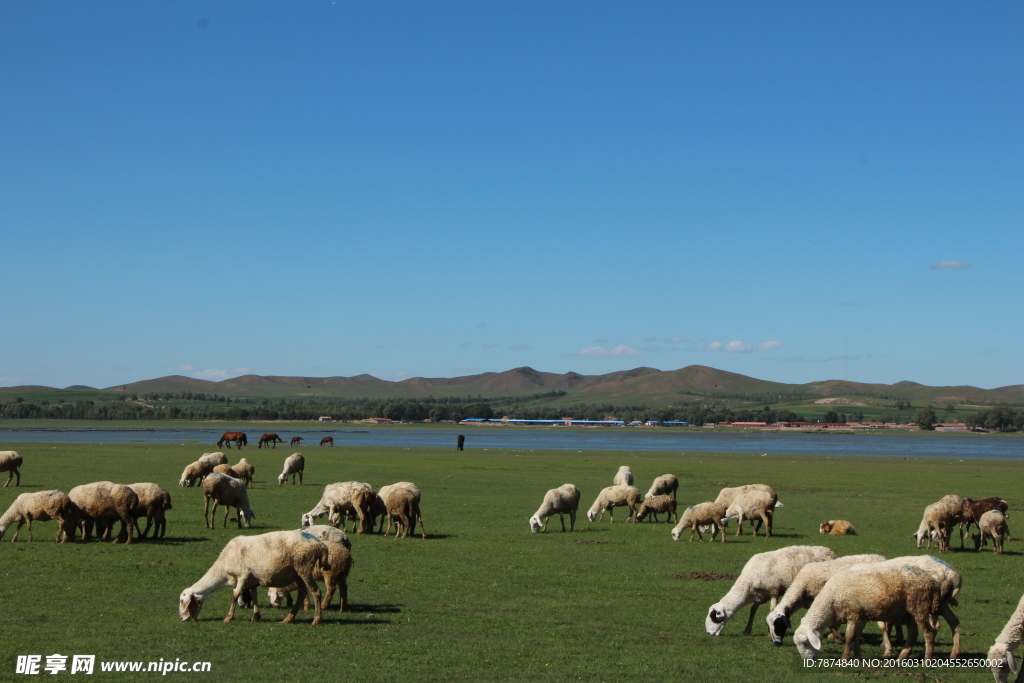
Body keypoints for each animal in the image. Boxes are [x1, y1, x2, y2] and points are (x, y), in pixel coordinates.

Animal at [178, 532, 329, 626]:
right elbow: (254, 595)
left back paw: (316, 620)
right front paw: (256, 616)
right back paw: (288, 619)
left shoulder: (242, 576)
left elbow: (235, 595)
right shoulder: (252, 580)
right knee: (302, 593)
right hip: (298, 573)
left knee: (316, 591)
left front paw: (228, 617)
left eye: (182, 601)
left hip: (304, 568)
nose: (182, 618)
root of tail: (320, 545)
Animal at [704, 540, 839, 638]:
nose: (709, 633)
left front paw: (771, 631)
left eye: (714, 618)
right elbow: (752, 610)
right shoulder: (760, 596)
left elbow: (772, 609)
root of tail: (831, 552)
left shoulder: (774, 591)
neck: (748, 583)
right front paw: (747, 630)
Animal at [790, 561, 942, 663]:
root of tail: (931, 580)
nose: (808, 661)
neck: (831, 601)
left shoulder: (852, 614)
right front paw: (857, 656)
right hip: (908, 613)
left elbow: (849, 637)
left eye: (805, 643)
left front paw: (844, 658)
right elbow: (857, 635)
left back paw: (927, 660)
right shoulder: (861, 615)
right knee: (913, 634)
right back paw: (901, 657)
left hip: (920, 607)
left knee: (929, 633)